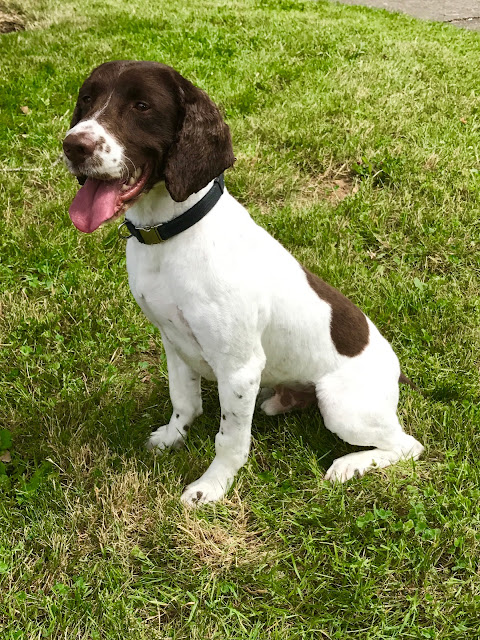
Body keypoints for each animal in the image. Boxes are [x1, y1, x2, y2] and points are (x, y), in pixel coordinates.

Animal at [63, 60, 424, 505]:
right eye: (86, 98)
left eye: (141, 106)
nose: (72, 146)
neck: (172, 236)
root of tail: (396, 371)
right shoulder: (172, 340)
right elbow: (184, 401)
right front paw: (171, 438)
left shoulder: (239, 368)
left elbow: (230, 440)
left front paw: (211, 487)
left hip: (343, 407)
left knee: (408, 445)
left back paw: (349, 465)